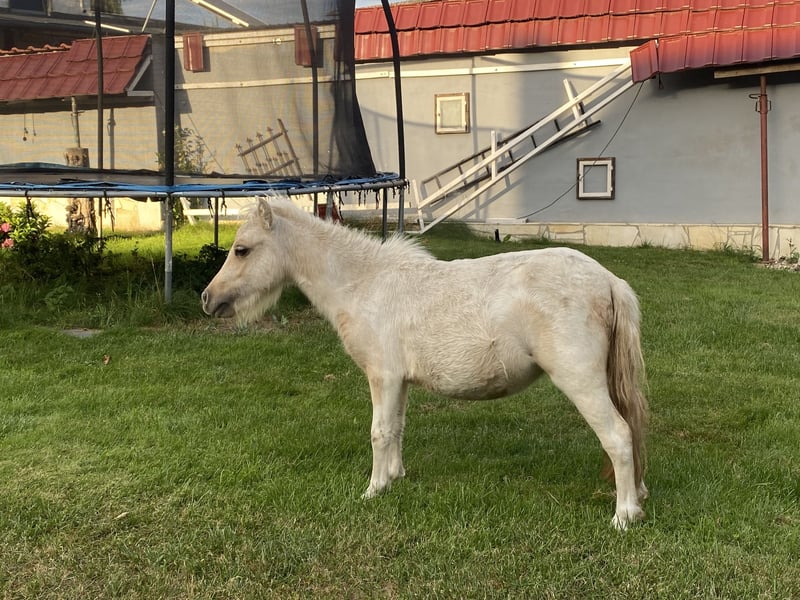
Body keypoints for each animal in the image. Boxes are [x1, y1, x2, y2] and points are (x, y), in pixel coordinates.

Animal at [202, 197, 649, 529]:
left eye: (242, 250)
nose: (208, 299)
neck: (363, 284)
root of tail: (608, 281)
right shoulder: (398, 381)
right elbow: (396, 429)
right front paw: (394, 478)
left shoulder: (382, 377)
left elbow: (379, 432)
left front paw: (373, 489)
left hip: (581, 382)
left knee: (618, 435)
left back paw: (624, 515)